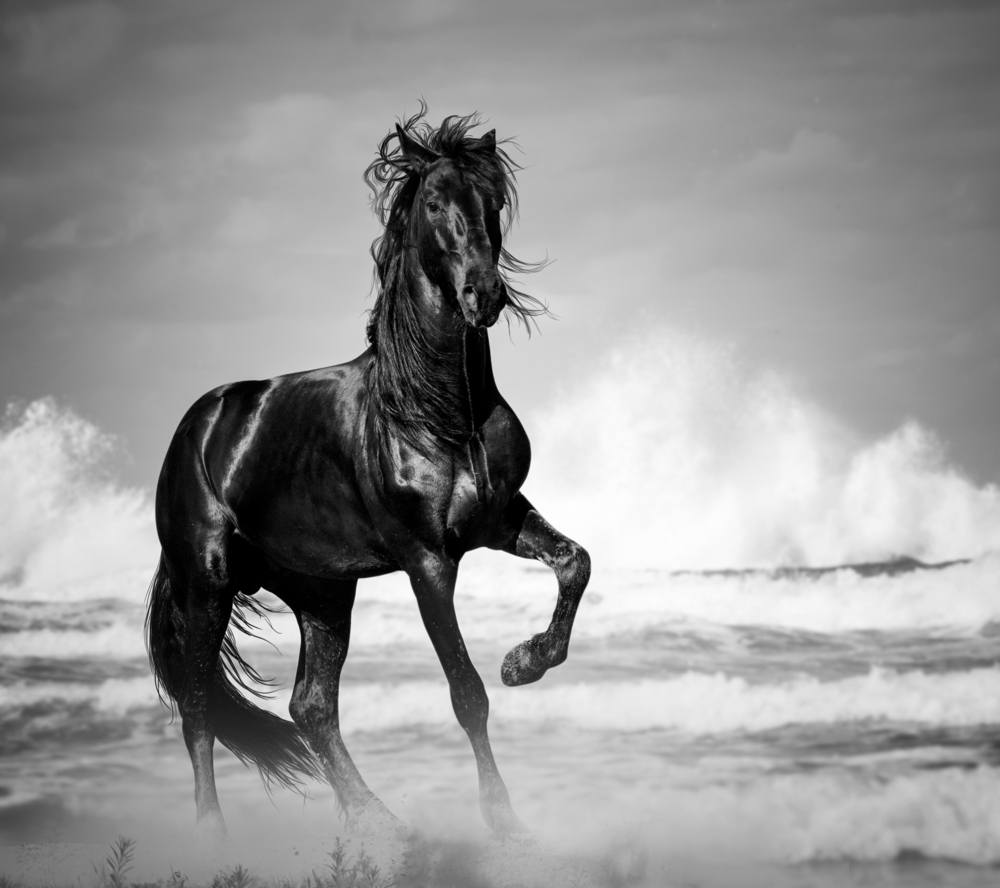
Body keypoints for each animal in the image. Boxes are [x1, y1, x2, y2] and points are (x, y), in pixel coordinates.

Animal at [145, 108, 591, 838]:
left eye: (493, 201)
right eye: (435, 203)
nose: (485, 294)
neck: (436, 411)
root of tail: (199, 426)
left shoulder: (501, 520)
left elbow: (574, 562)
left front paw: (523, 663)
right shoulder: (427, 560)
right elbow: (466, 693)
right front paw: (504, 822)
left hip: (322, 593)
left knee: (311, 706)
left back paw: (380, 825)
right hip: (206, 582)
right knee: (200, 711)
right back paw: (214, 835)